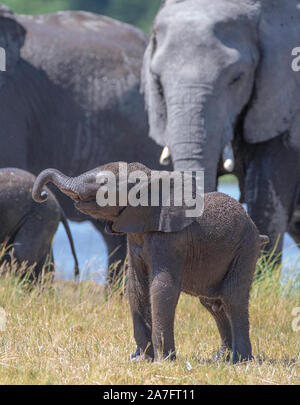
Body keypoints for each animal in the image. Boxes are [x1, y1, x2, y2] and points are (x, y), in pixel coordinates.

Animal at [32, 163, 268, 362]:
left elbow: (162, 286)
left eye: (104, 184)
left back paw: (240, 360)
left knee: (232, 298)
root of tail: (256, 230)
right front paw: (141, 359)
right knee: (212, 303)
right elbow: (136, 285)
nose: (42, 195)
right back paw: (220, 359)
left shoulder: (171, 240)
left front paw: (165, 360)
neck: (150, 179)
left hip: (245, 249)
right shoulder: (135, 237)